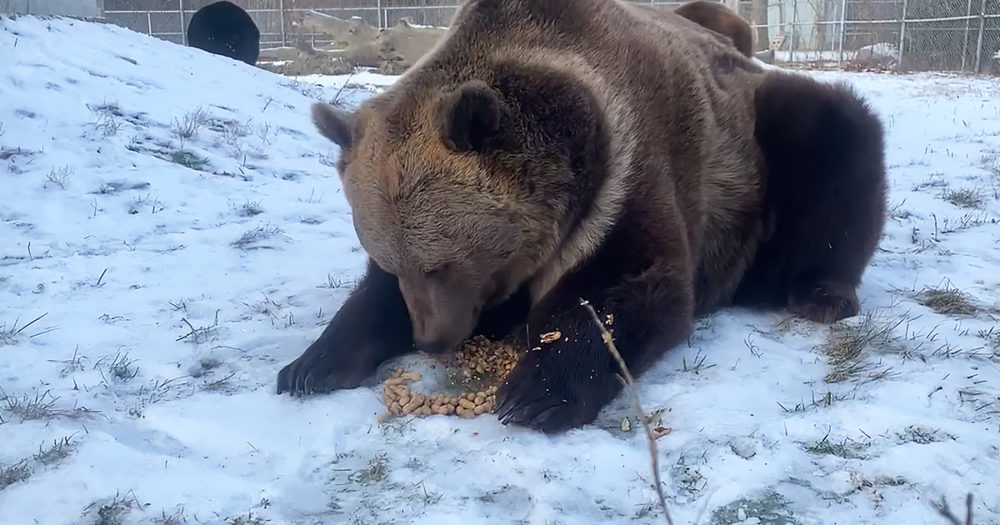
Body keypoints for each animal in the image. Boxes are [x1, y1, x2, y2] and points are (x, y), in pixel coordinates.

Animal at [276, 0, 887, 434]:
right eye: (392, 259)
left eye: (442, 264)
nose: (430, 339)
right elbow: (367, 301)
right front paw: (308, 366)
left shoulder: (629, 170)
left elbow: (629, 287)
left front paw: (535, 393)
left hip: (755, 149)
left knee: (834, 136)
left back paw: (820, 292)